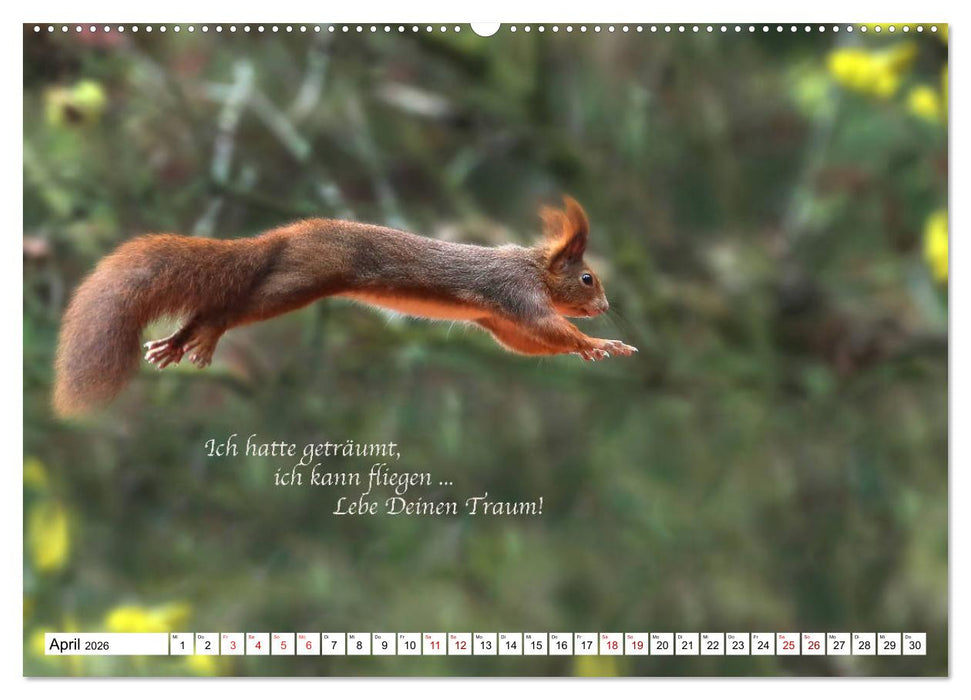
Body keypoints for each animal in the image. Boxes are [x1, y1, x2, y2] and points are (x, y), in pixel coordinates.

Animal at [52, 196, 637, 417]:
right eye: (587, 278)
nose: (606, 305)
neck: (535, 267)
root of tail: (287, 235)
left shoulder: (499, 318)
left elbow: (524, 341)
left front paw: (592, 346)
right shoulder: (516, 293)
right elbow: (545, 326)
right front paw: (598, 341)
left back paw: (175, 343)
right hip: (297, 280)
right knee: (229, 310)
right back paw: (204, 335)